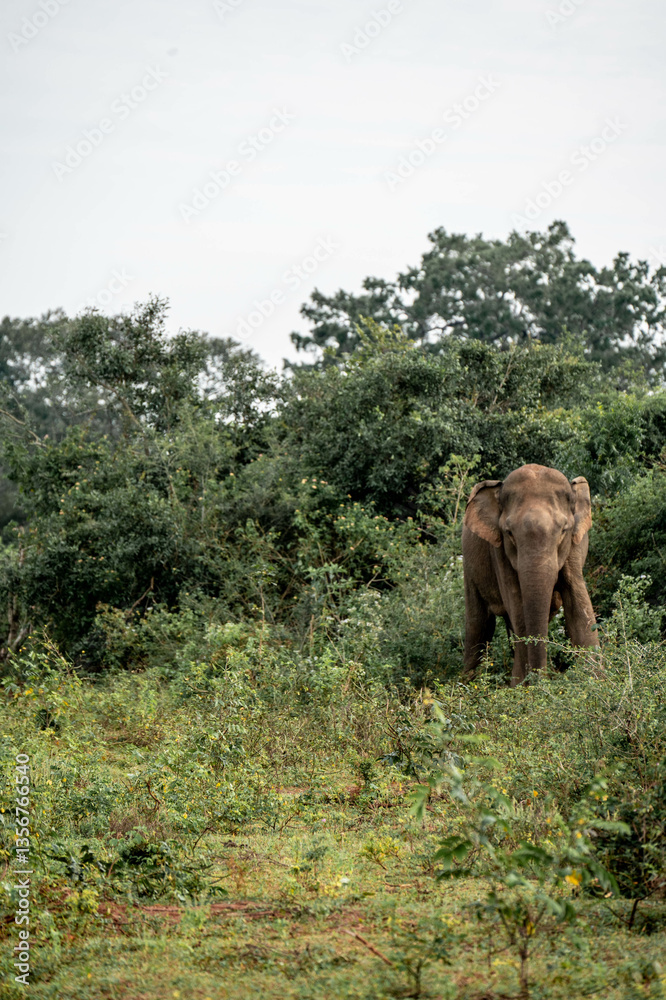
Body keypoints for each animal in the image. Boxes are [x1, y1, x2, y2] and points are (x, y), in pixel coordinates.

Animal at [462, 463, 599, 686]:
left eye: (563, 530)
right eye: (509, 533)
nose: (541, 681)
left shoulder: (574, 546)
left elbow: (579, 607)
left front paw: (595, 680)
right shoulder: (499, 552)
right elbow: (518, 608)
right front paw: (521, 688)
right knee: (478, 625)